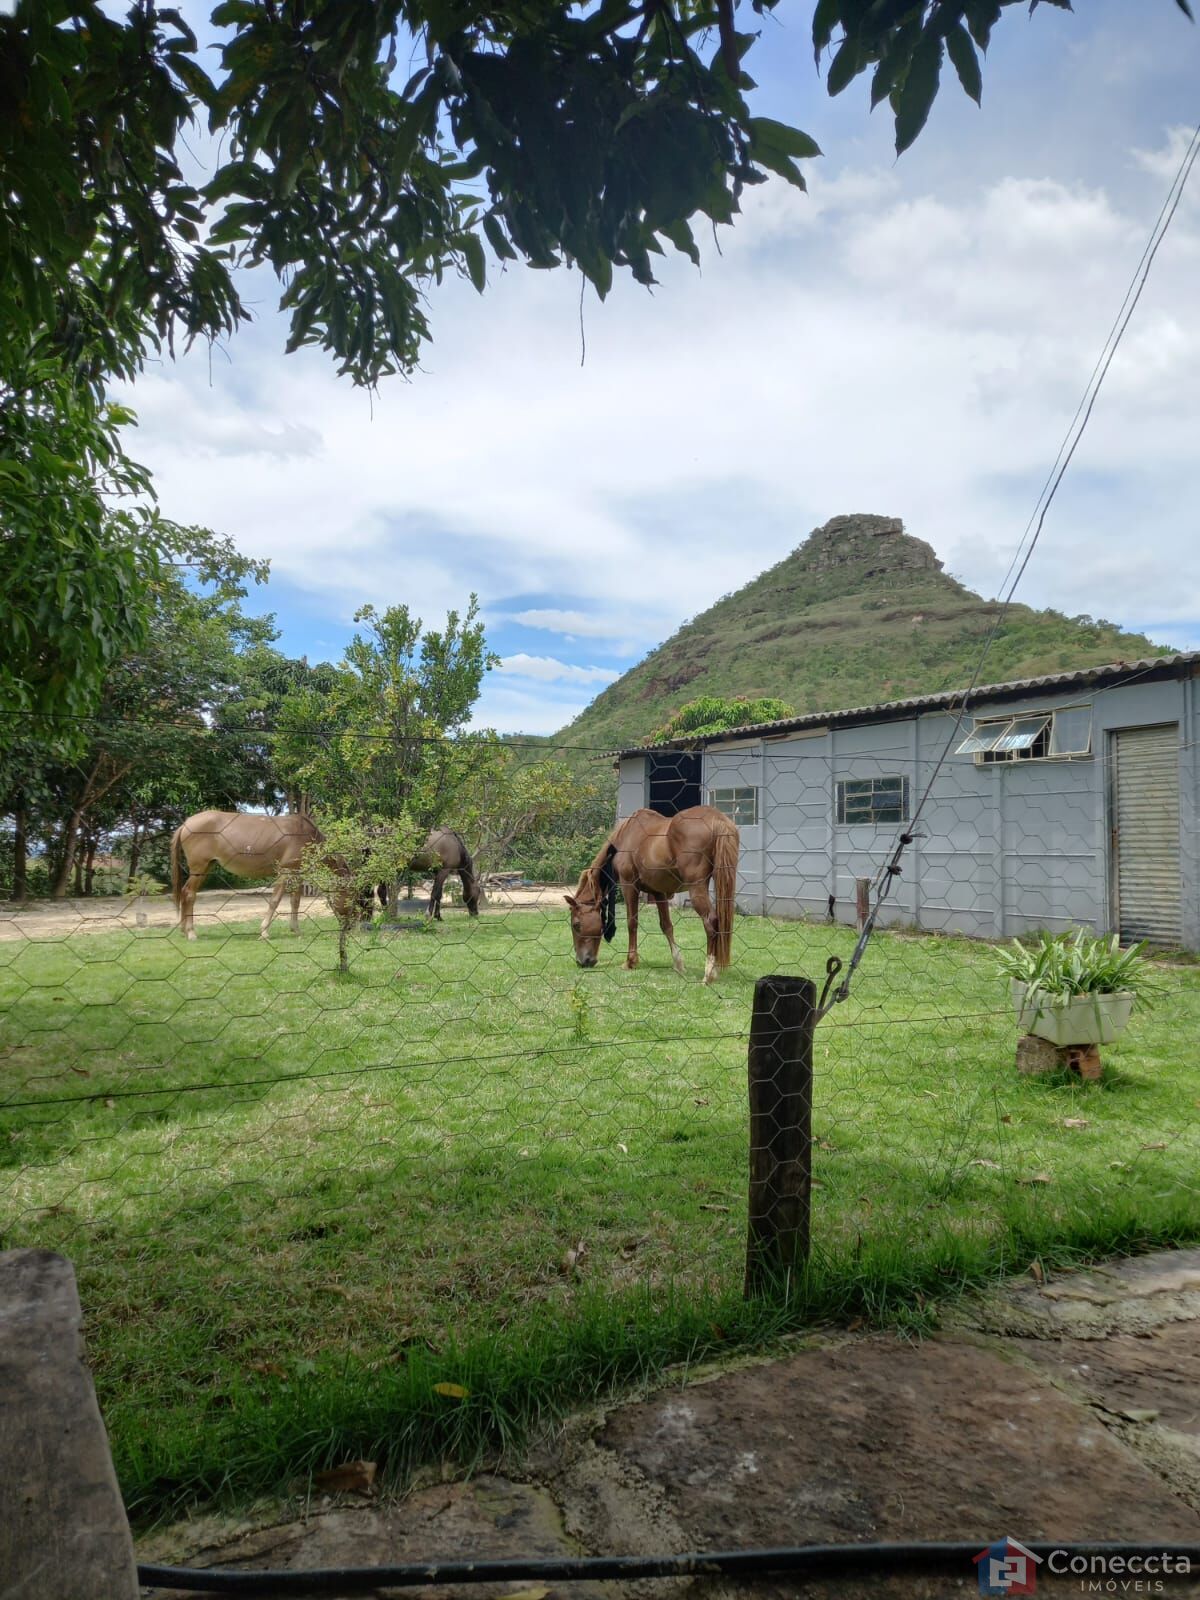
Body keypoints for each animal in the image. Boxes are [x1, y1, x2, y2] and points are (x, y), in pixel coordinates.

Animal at [169, 812, 334, 934]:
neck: (306, 834)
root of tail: (185, 825)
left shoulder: (297, 872)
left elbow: (295, 901)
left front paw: (296, 930)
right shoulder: (285, 871)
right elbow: (275, 900)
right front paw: (264, 931)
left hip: (206, 867)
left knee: (184, 892)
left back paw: (184, 930)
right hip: (199, 868)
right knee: (189, 893)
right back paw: (191, 932)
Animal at [566, 806, 742, 979]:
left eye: (576, 925)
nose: (581, 962)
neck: (625, 837)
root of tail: (717, 818)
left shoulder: (629, 886)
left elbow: (632, 923)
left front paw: (630, 961)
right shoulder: (659, 893)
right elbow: (666, 926)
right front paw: (678, 964)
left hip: (696, 888)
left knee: (710, 921)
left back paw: (709, 972)